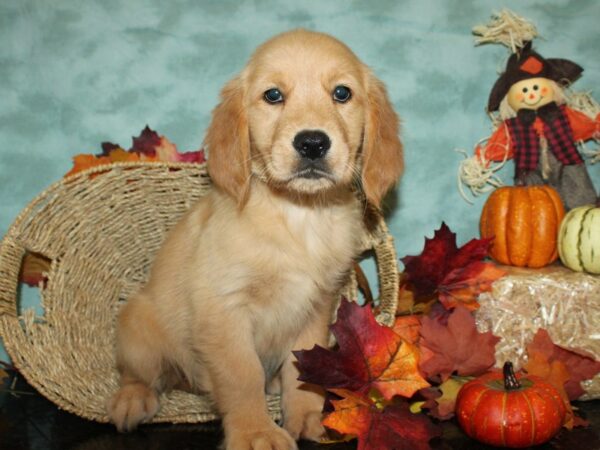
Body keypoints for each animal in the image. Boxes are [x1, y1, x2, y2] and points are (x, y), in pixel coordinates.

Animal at [108, 29, 404, 450]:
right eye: (273, 95)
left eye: (342, 93)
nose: (312, 143)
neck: (299, 215)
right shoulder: (225, 311)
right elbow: (242, 376)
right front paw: (255, 432)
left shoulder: (315, 309)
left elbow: (302, 371)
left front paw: (306, 417)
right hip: (138, 327)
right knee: (140, 374)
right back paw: (133, 399)